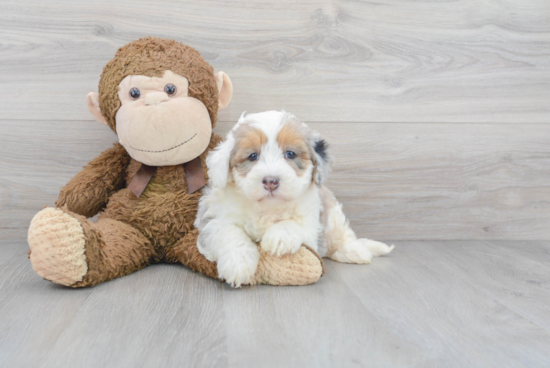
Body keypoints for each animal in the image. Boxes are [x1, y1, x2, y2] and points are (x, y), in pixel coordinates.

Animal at [196, 111, 394, 288]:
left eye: (290, 154)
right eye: (253, 156)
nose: (271, 181)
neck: (268, 209)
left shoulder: (311, 224)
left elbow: (295, 225)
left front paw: (279, 236)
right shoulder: (212, 219)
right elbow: (229, 232)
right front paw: (238, 263)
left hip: (333, 215)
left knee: (341, 237)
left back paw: (355, 251)